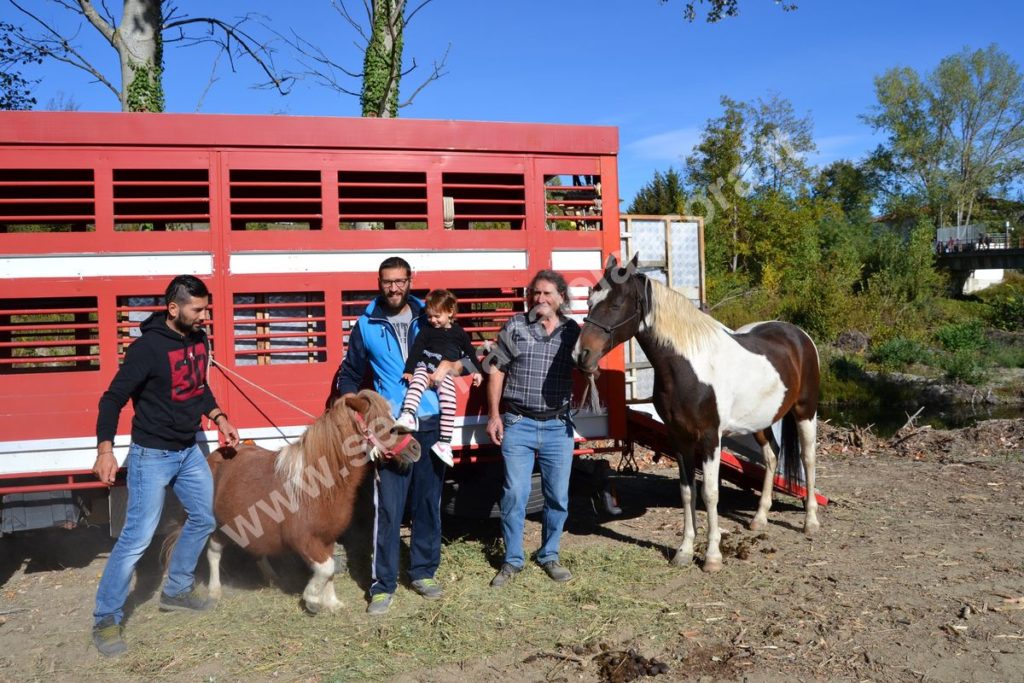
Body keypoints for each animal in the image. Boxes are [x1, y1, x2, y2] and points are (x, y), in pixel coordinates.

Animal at [204, 389, 419, 614]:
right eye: (380, 425)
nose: (416, 448)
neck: (318, 485)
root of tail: (217, 454)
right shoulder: (304, 540)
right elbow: (326, 569)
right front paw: (312, 599)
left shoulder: (328, 538)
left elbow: (329, 569)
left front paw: (332, 602)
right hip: (219, 525)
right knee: (213, 552)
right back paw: (214, 592)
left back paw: (271, 577)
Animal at [577, 254, 823, 573]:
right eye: (590, 300)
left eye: (616, 304)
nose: (582, 354)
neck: (689, 365)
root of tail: (797, 334)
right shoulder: (679, 438)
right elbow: (687, 492)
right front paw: (683, 551)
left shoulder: (709, 438)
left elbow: (710, 493)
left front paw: (712, 557)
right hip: (760, 421)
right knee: (772, 456)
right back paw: (759, 519)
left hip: (806, 411)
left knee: (808, 459)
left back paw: (810, 522)